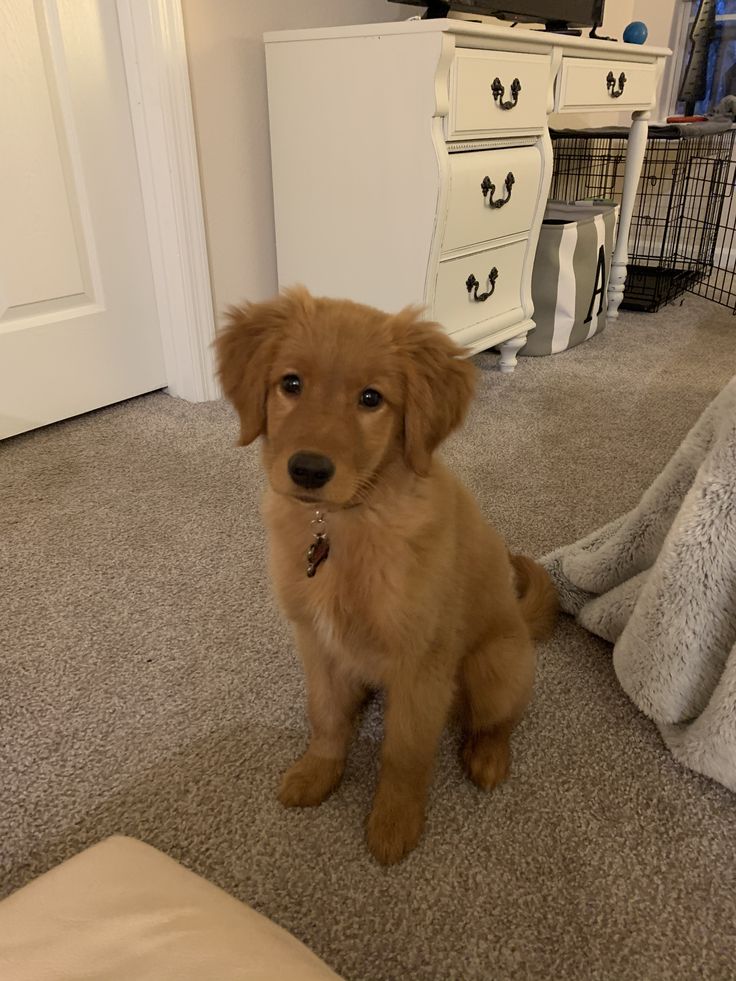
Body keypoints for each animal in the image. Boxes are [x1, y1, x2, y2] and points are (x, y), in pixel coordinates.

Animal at [217, 288, 556, 860]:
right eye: (291, 384)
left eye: (371, 399)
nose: (308, 470)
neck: (346, 522)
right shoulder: (316, 641)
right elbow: (326, 716)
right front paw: (319, 772)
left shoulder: (421, 663)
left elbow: (405, 752)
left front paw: (395, 822)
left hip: (494, 666)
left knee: (499, 718)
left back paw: (488, 756)